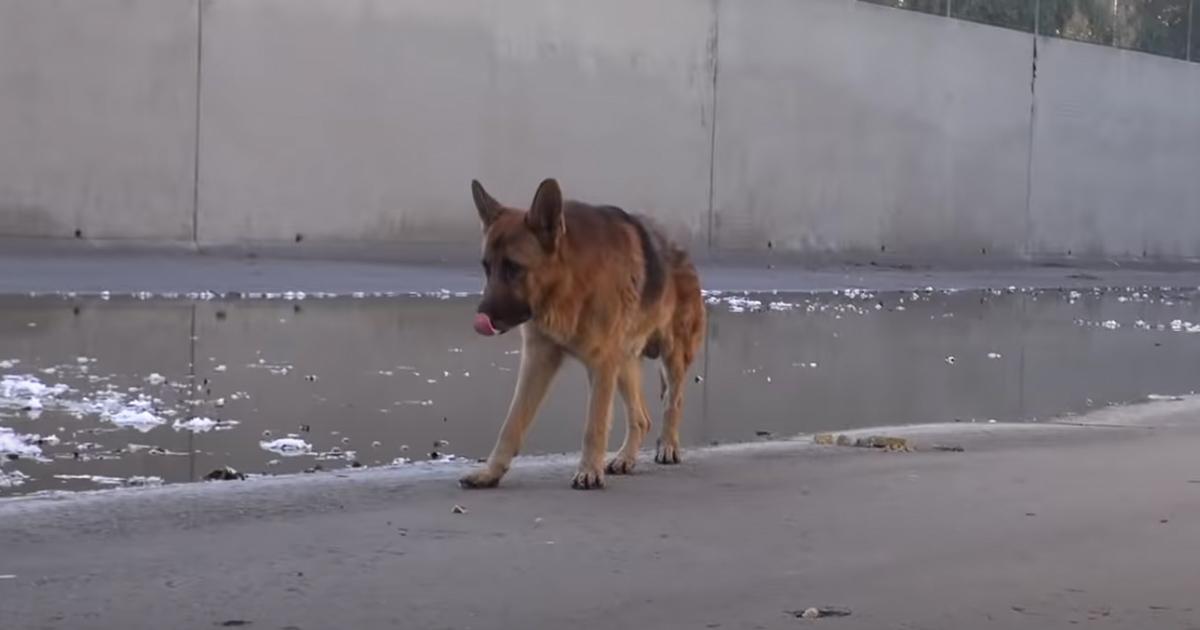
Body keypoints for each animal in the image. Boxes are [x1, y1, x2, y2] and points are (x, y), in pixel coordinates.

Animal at [456, 178, 700, 489]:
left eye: (514, 268)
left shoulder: (601, 365)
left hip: (671, 357)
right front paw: (491, 472)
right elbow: (511, 424)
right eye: (487, 267)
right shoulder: (538, 360)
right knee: (641, 418)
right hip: (623, 365)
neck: (570, 282)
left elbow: (594, 425)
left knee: (673, 401)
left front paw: (588, 470)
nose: (482, 316)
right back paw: (626, 458)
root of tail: (679, 248)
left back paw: (668, 445)